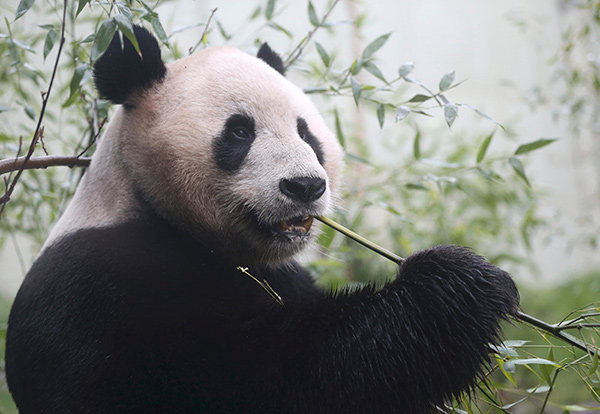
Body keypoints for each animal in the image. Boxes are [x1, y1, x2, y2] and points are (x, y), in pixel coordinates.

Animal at [4, 26, 516, 414]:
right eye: (238, 132)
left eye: (306, 132)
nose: (305, 186)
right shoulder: (102, 288)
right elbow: (263, 377)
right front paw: (457, 285)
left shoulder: (284, 274)